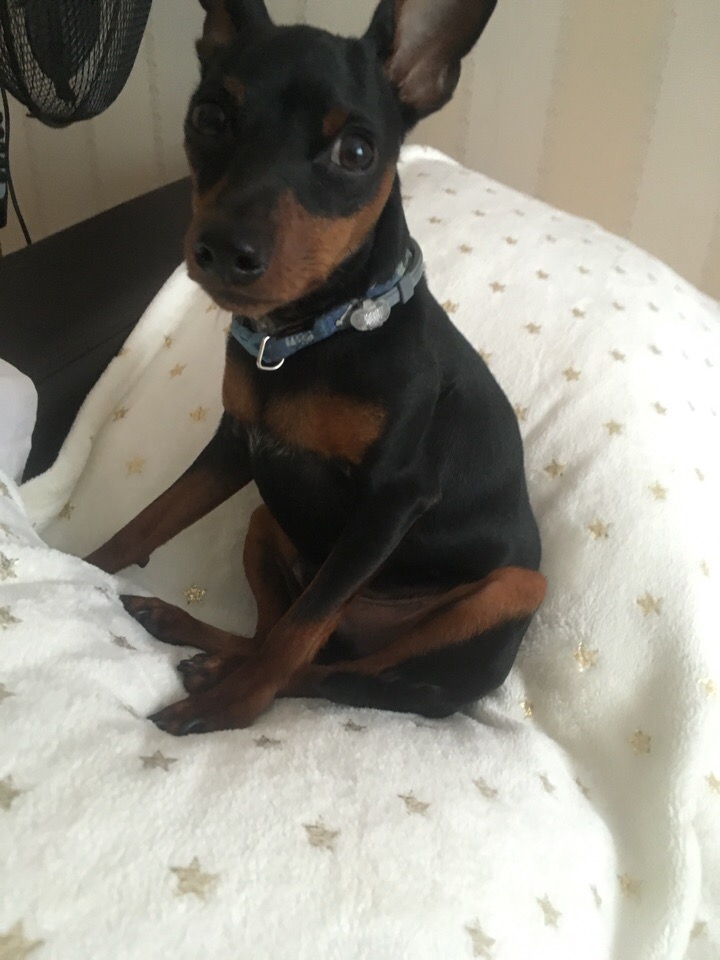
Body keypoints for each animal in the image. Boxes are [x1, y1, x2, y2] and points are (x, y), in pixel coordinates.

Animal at [87, 0, 546, 735]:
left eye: (355, 152)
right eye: (209, 117)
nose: (225, 249)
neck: (305, 337)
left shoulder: (392, 501)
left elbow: (297, 636)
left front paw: (225, 712)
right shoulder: (237, 446)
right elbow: (148, 522)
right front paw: (66, 567)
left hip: (511, 589)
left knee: (333, 672)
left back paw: (217, 681)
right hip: (266, 519)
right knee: (276, 637)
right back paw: (186, 631)